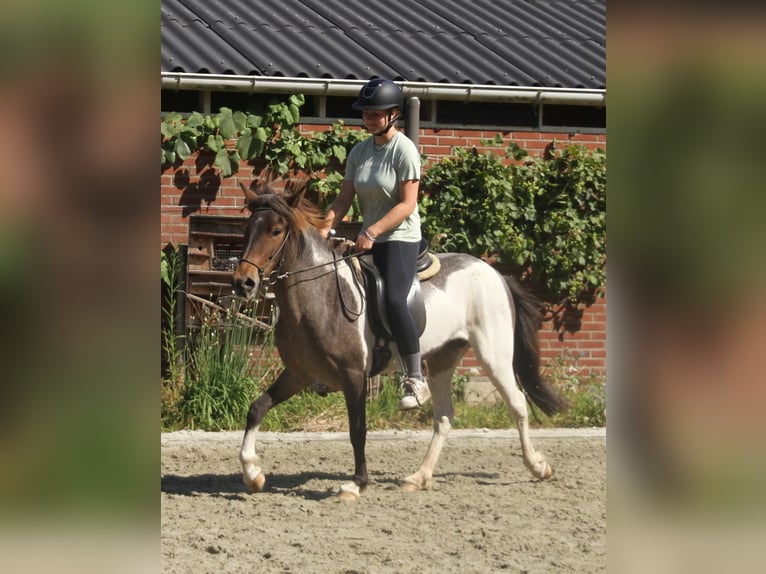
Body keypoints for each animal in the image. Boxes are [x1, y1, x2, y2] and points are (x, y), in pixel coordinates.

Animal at [231, 182, 566, 501]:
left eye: (276, 231)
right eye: (247, 229)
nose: (243, 282)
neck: (319, 296)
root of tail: (494, 272)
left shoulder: (354, 376)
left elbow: (357, 430)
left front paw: (357, 485)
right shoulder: (299, 374)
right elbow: (256, 408)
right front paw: (253, 473)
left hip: (493, 355)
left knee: (517, 403)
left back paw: (538, 466)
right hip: (442, 359)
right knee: (444, 417)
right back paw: (418, 478)